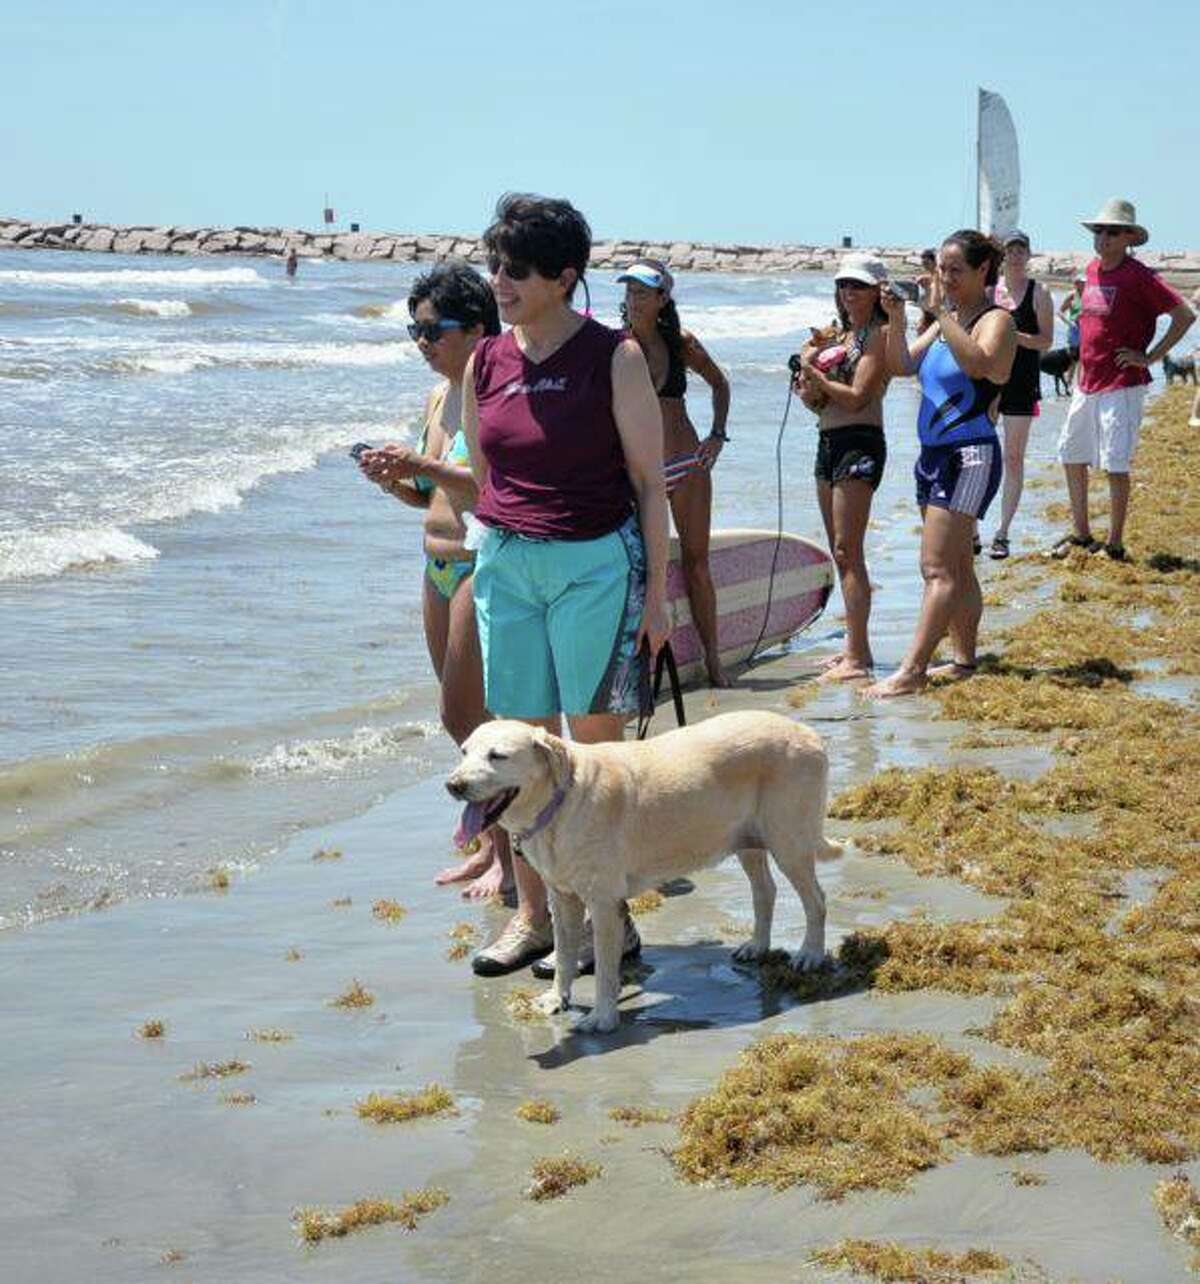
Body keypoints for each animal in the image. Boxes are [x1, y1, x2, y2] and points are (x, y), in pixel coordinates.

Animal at [444, 708, 847, 1037]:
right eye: (464, 751)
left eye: (498, 756)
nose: (453, 785)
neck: (560, 802)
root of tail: (807, 731)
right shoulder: (563, 899)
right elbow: (563, 956)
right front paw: (556, 998)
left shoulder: (603, 904)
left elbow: (606, 970)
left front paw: (603, 1018)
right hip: (748, 843)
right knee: (765, 892)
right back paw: (757, 946)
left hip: (789, 843)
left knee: (816, 900)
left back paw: (810, 954)